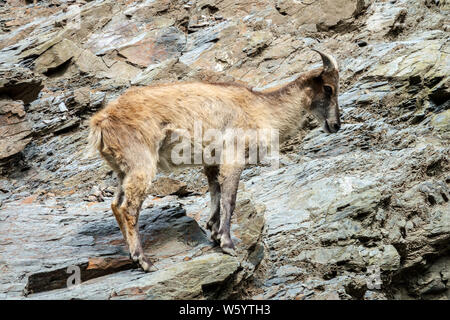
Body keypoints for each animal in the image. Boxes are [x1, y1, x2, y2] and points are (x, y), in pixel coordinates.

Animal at [89, 49, 342, 270]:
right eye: (328, 88)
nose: (336, 125)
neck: (261, 106)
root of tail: (101, 122)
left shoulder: (212, 161)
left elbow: (215, 193)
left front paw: (213, 232)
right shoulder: (234, 157)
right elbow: (229, 199)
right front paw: (227, 243)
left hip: (123, 169)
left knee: (115, 204)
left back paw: (131, 255)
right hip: (141, 164)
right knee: (128, 208)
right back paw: (143, 260)